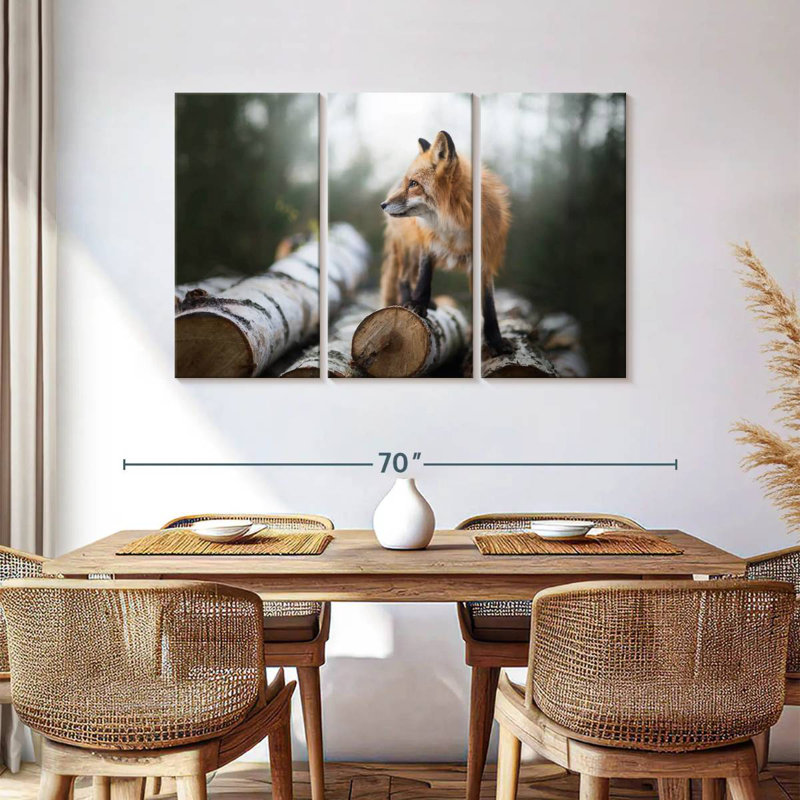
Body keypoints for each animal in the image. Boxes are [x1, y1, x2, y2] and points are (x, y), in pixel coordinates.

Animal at [379, 130, 512, 355]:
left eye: (413, 184)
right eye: (408, 183)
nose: (383, 204)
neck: (455, 225)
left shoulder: (484, 261)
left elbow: (489, 306)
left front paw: (496, 342)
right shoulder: (428, 245)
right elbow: (424, 279)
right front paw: (417, 305)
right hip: (410, 249)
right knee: (403, 279)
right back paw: (408, 301)